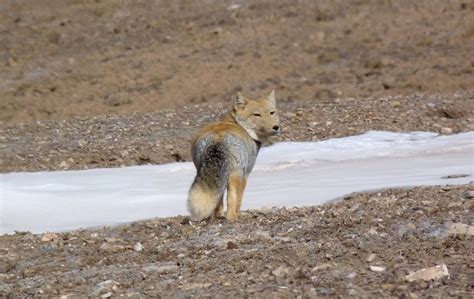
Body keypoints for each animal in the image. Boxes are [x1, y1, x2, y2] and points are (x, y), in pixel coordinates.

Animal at [186, 90, 282, 221]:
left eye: (272, 113)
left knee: (218, 198)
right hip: (234, 175)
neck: (238, 124)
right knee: (231, 199)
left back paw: (218, 216)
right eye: (257, 115)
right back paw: (232, 217)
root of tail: (217, 138)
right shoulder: (245, 174)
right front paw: (238, 214)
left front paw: (219, 215)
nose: (276, 127)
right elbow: (239, 199)